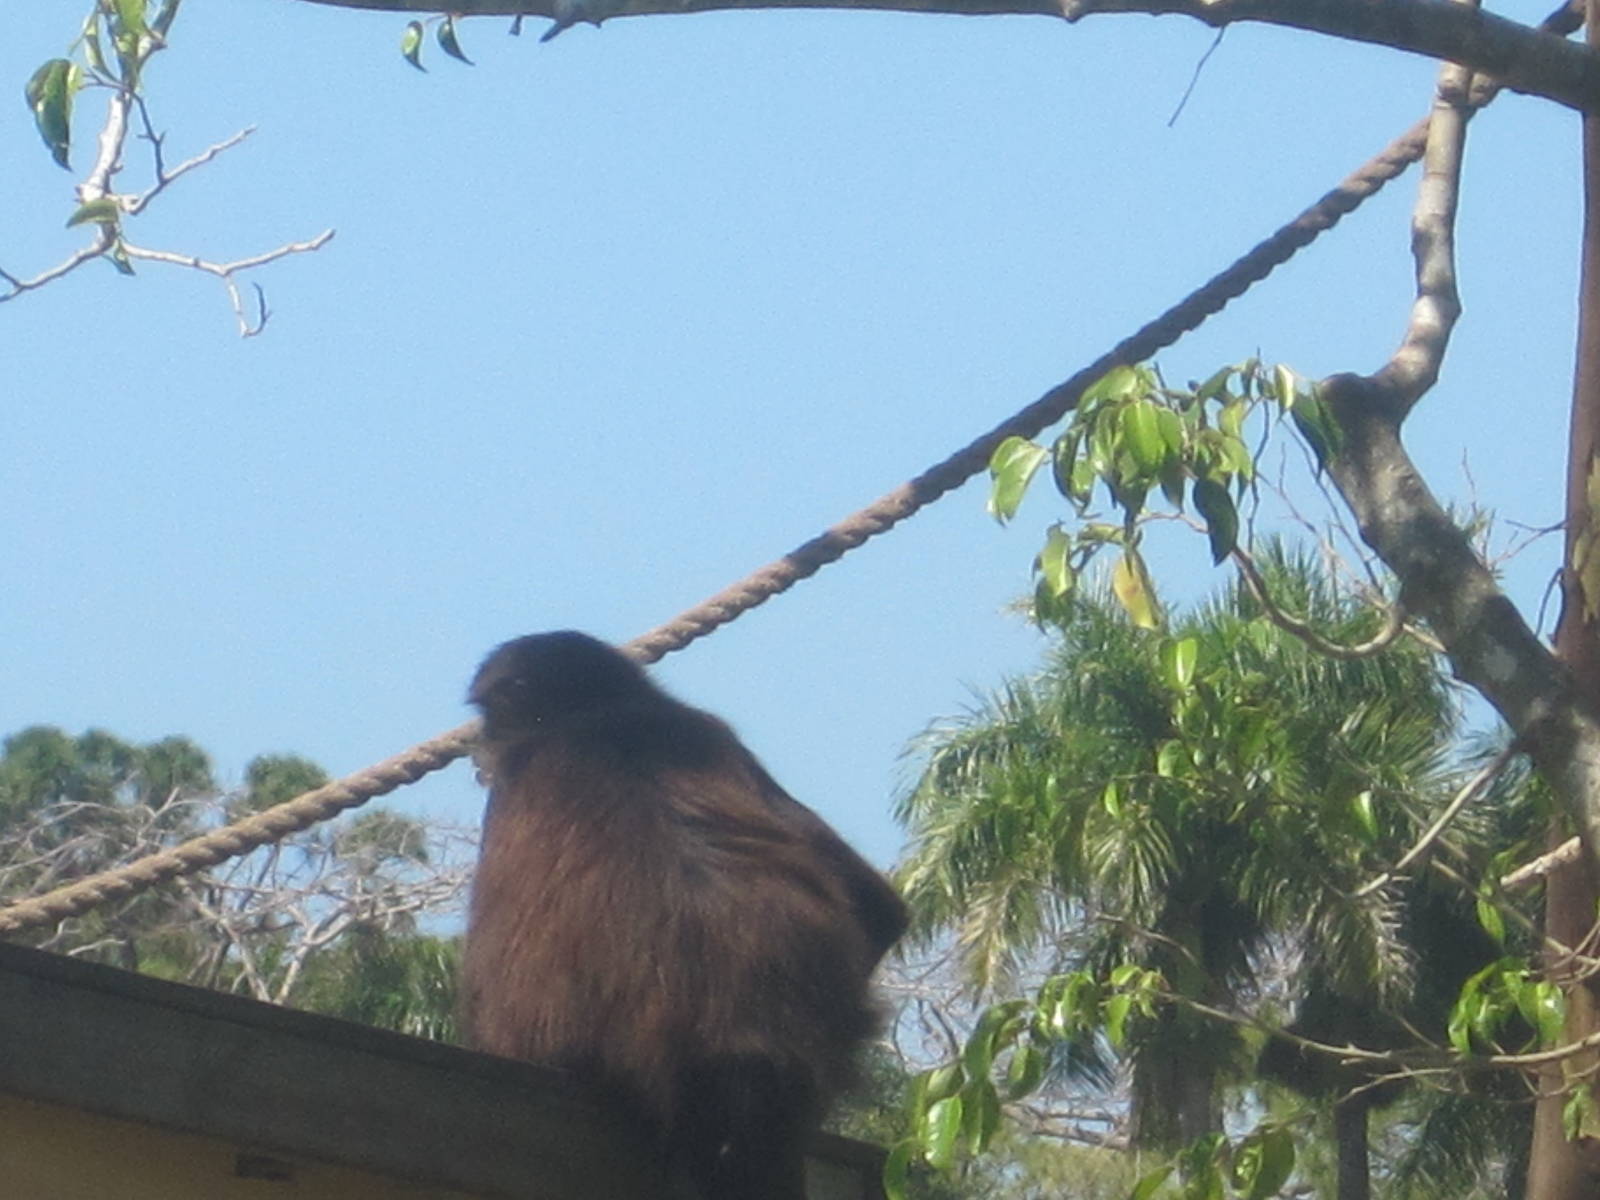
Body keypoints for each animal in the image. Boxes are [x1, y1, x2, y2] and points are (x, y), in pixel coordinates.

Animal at [459, 631, 908, 1200]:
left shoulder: (518, 773)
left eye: (490, 716)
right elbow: (879, 909)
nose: (479, 744)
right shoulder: (704, 728)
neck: (599, 714)